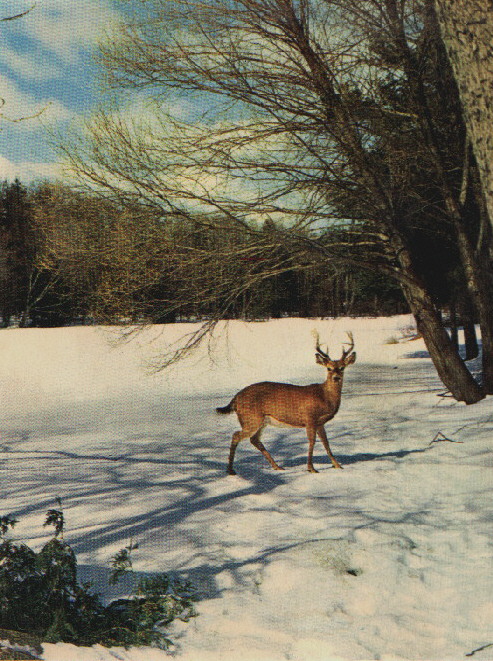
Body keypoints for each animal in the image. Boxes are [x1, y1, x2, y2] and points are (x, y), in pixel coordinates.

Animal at [215, 332, 354, 472]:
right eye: (329, 368)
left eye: (342, 368)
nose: (336, 378)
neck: (324, 397)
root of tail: (236, 397)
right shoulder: (310, 418)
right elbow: (312, 442)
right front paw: (311, 468)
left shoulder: (320, 423)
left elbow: (326, 443)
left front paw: (337, 465)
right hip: (251, 418)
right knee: (236, 435)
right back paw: (230, 470)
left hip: (261, 421)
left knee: (254, 439)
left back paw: (277, 466)